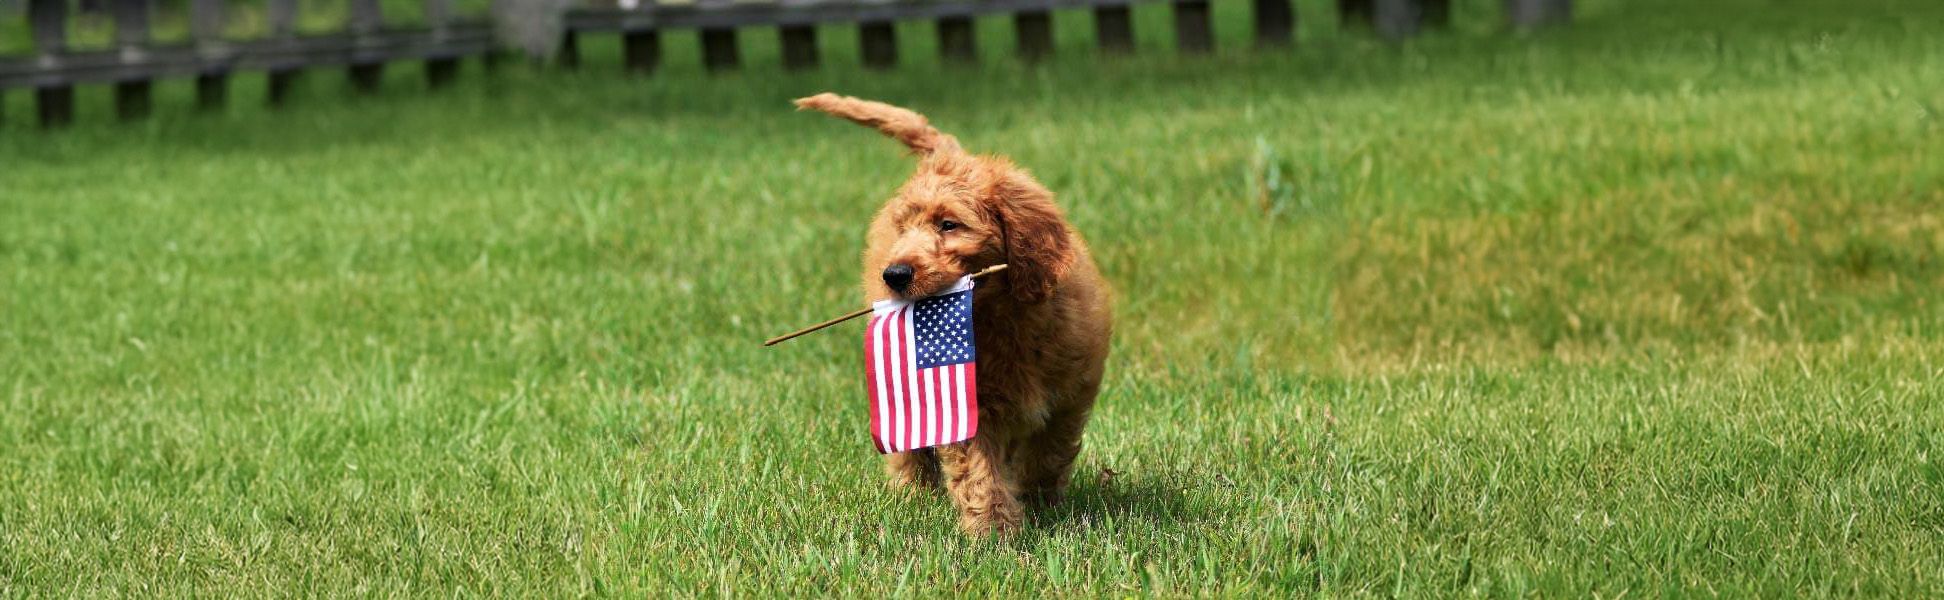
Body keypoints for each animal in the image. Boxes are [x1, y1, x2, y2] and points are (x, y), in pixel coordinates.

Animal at [797, 94, 1119, 535]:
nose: (894, 275)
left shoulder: (1070, 392)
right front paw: (994, 531)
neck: (998, 316)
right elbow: (978, 469)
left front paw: (1042, 504)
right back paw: (913, 495)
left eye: (949, 224)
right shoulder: (964, 401)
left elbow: (1050, 451)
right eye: (904, 229)